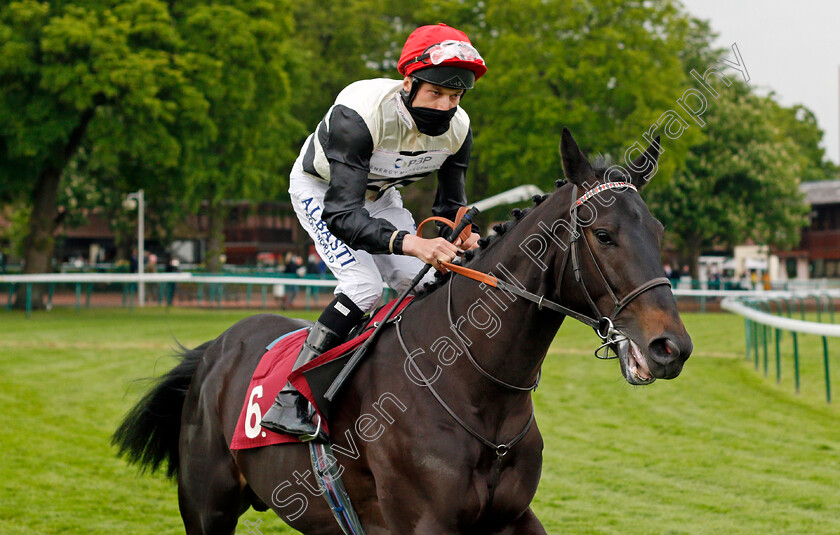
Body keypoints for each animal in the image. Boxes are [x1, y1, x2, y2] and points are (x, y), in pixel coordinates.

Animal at [116, 127, 696, 532]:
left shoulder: (512, 517)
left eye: (659, 230)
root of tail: (216, 348)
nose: (672, 347)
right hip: (207, 507)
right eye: (604, 234)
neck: (474, 391)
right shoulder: (423, 522)